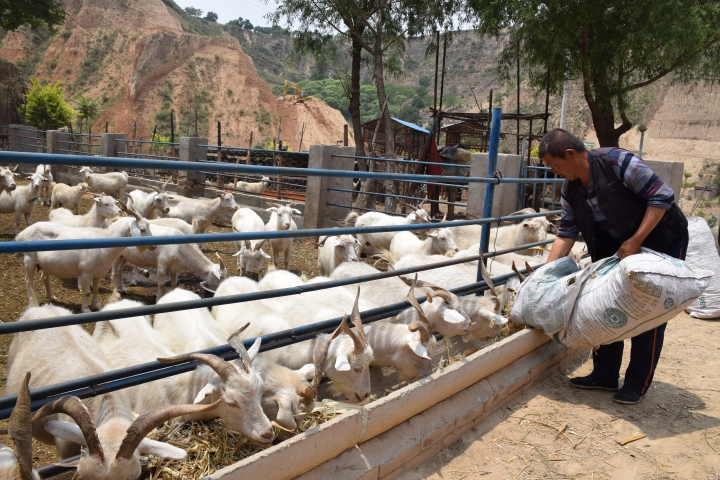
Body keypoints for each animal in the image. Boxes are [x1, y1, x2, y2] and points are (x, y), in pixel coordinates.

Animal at [16, 205, 153, 312]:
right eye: (142, 229)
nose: (154, 245)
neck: (103, 241)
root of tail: (24, 233)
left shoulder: (98, 273)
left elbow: (96, 289)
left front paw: (96, 305)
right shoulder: (86, 273)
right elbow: (87, 292)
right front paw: (86, 309)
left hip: (45, 264)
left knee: (45, 277)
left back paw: (51, 297)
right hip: (29, 260)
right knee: (28, 281)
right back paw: (32, 302)